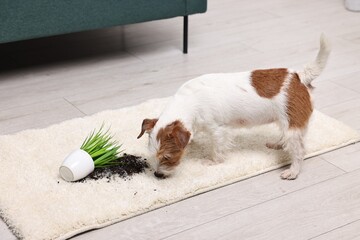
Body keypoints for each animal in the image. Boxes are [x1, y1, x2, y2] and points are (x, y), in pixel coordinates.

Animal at [138, 33, 332, 180]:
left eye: (167, 157)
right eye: (151, 154)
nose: (157, 175)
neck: (189, 102)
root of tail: (299, 76)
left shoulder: (218, 130)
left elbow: (217, 150)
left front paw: (212, 162)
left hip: (292, 125)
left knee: (299, 151)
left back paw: (293, 172)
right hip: (286, 123)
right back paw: (278, 144)